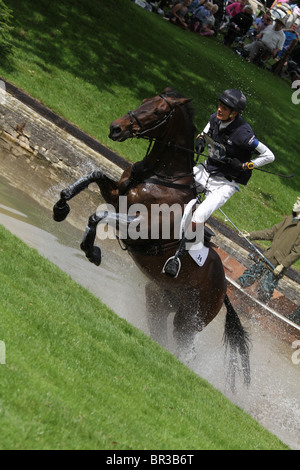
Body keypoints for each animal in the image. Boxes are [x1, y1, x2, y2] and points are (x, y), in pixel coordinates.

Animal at [52, 87, 250, 390]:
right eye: (145, 101)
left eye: (158, 111)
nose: (116, 128)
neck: (159, 175)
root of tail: (225, 290)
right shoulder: (117, 195)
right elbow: (92, 176)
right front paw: (61, 206)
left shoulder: (140, 227)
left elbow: (97, 216)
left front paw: (91, 250)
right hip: (158, 301)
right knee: (160, 334)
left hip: (190, 320)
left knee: (185, 349)